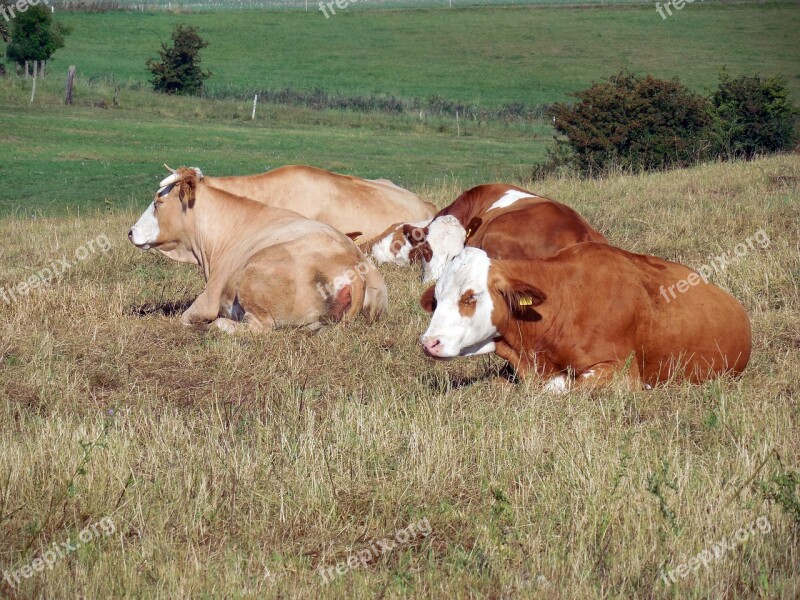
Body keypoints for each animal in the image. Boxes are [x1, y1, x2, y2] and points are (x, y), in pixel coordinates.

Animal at [128, 168, 388, 332]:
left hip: (253, 276)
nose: (131, 231)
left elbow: (185, 317)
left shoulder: (208, 298)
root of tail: (351, 263)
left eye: (158, 202)